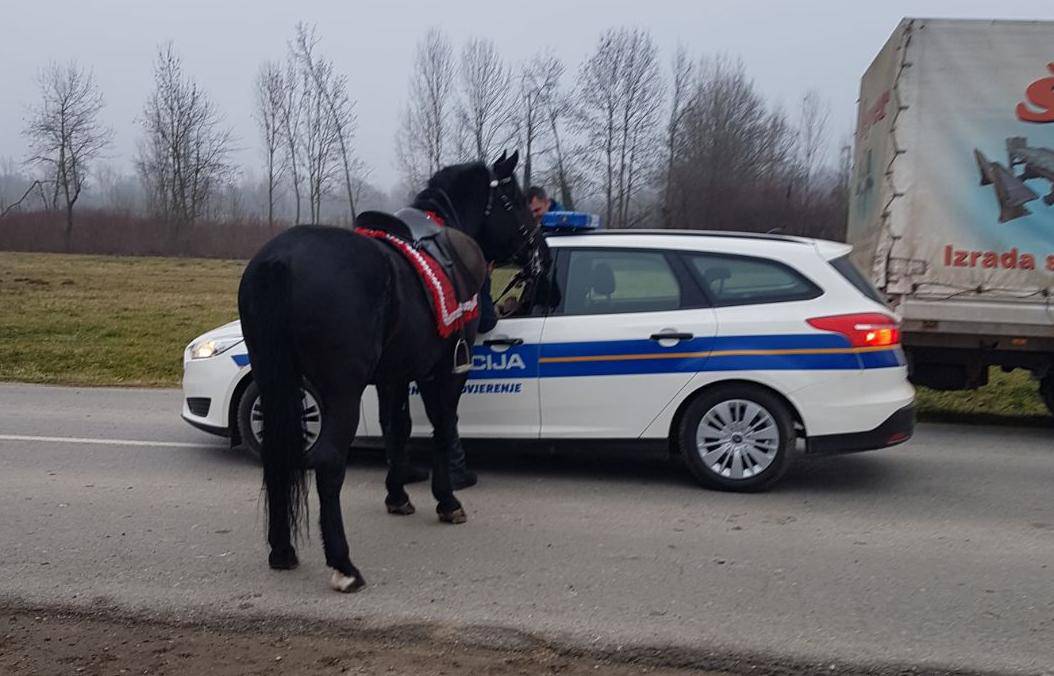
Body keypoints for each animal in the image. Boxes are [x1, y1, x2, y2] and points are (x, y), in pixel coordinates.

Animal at [237, 151, 535, 590]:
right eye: (514, 200)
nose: (538, 251)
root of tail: (281, 260)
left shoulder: (394, 376)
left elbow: (397, 429)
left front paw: (398, 495)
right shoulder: (444, 371)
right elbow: (443, 427)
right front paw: (447, 500)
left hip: (276, 381)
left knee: (280, 454)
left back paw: (282, 550)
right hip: (339, 391)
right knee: (328, 462)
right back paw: (343, 564)